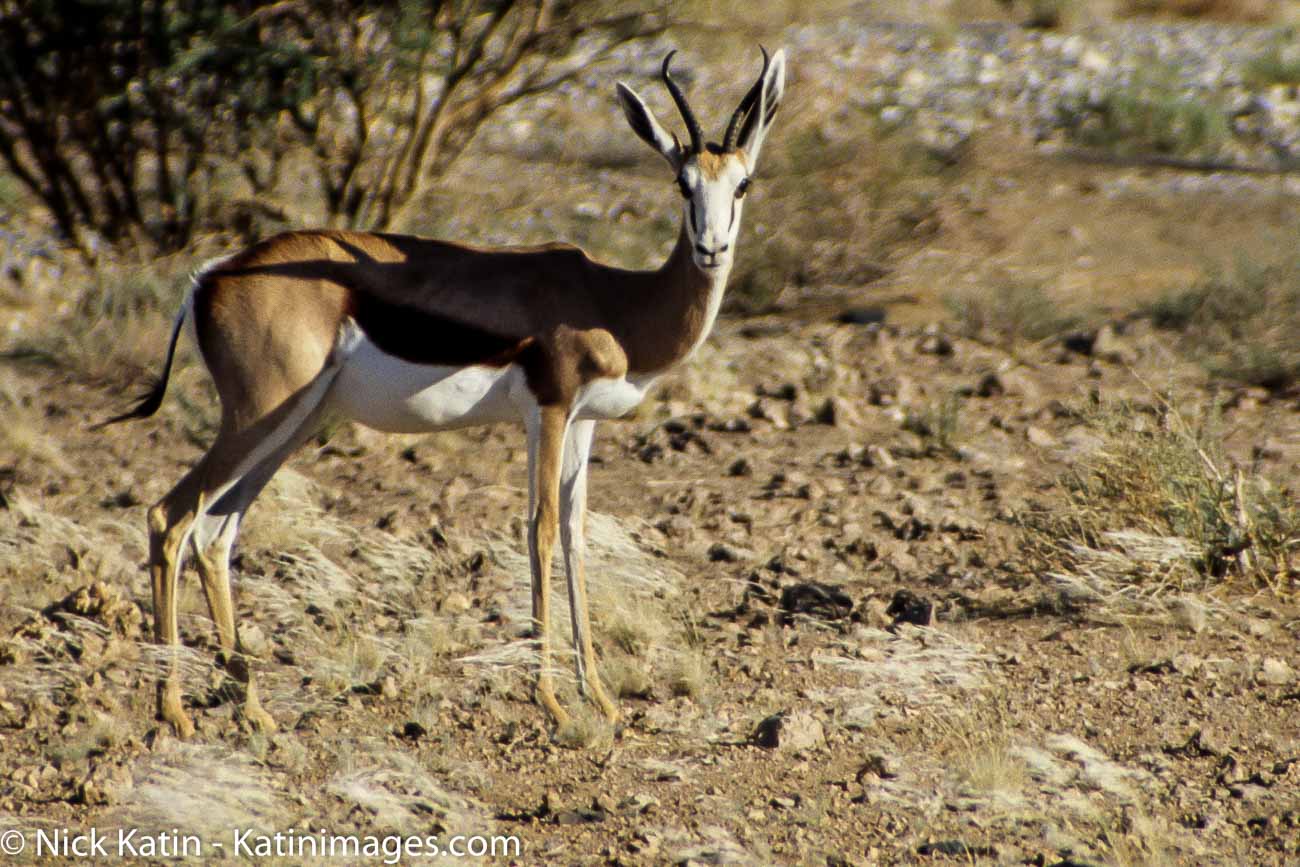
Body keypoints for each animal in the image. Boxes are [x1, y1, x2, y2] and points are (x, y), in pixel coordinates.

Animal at [101, 47, 786, 737]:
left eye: (743, 184)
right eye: (682, 184)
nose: (711, 248)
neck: (616, 302)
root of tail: (208, 278)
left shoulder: (583, 422)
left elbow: (574, 534)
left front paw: (600, 697)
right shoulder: (548, 411)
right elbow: (539, 529)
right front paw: (552, 701)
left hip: (293, 423)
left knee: (216, 533)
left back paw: (254, 709)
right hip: (257, 416)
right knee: (170, 518)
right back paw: (173, 710)